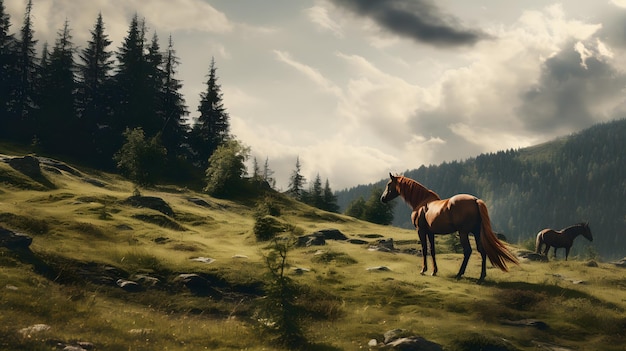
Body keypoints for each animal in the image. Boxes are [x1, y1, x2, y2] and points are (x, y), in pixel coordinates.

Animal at [380, 175, 516, 282]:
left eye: (388, 184)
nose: (382, 198)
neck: (422, 202)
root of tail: (475, 201)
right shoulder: (431, 232)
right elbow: (432, 250)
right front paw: (434, 271)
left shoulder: (421, 231)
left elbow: (424, 249)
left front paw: (423, 270)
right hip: (476, 232)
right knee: (482, 250)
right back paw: (481, 277)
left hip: (463, 232)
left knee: (468, 251)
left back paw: (459, 274)